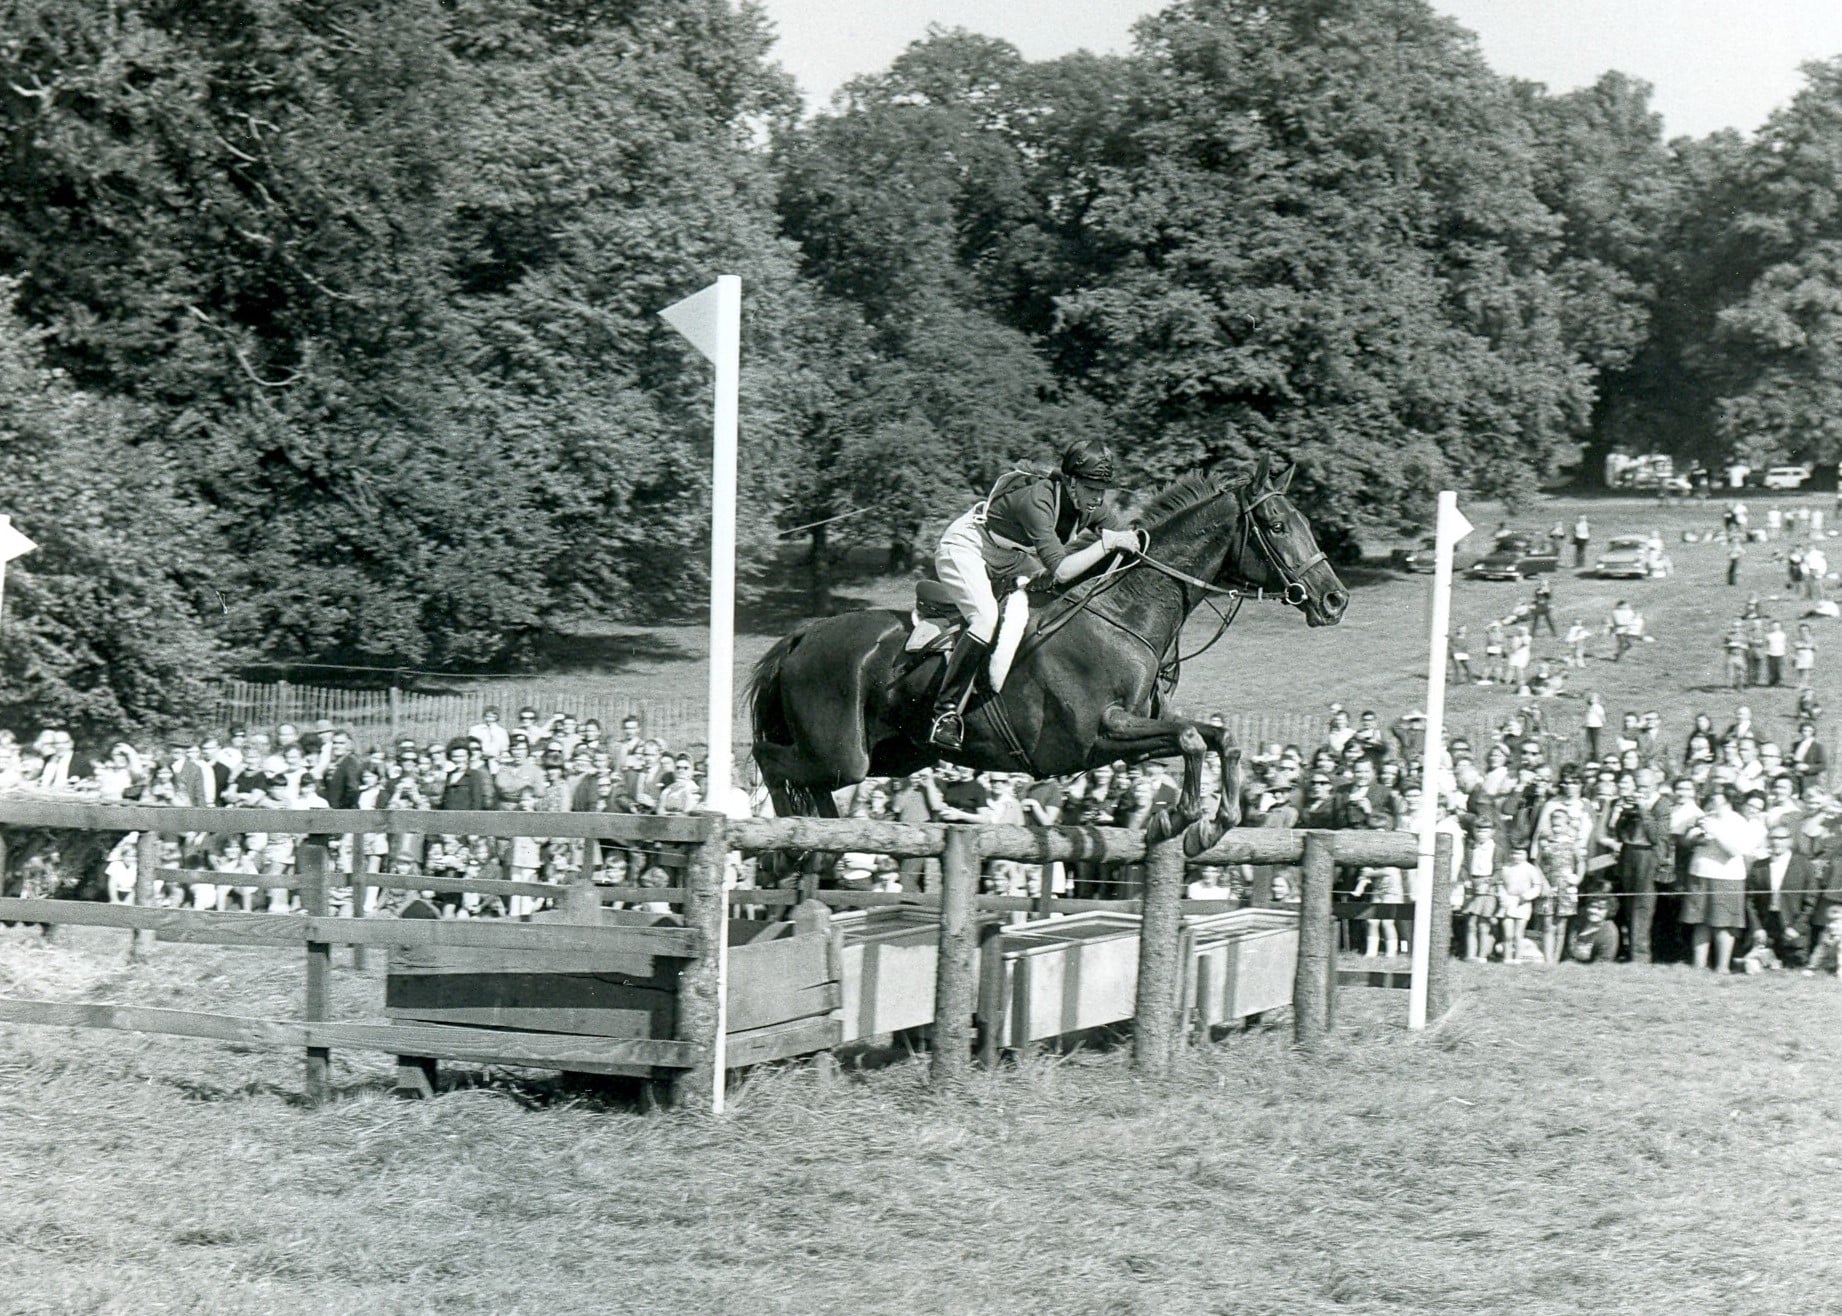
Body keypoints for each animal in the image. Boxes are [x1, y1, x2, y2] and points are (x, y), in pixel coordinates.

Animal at [751, 457, 1355, 814]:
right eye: (1276, 526)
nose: (1334, 599)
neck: (1123, 615)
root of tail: (804, 636)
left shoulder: (1136, 735)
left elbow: (1215, 737)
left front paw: (1219, 817)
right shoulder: (1096, 734)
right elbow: (1188, 738)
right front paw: (1186, 817)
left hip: (896, 754)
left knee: (809, 777)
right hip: (842, 752)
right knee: (772, 761)